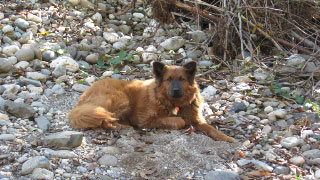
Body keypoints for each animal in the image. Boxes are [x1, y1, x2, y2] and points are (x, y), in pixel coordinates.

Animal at [69, 61, 235, 143]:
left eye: (182, 79)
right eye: (169, 79)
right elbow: (179, 121)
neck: (174, 104)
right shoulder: (146, 120)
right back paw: (121, 126)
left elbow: (211, 128)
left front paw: (226, 138)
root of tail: (81, 101)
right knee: (105, 119)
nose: (176, 90)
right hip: (121, 99)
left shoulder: (197, 120)